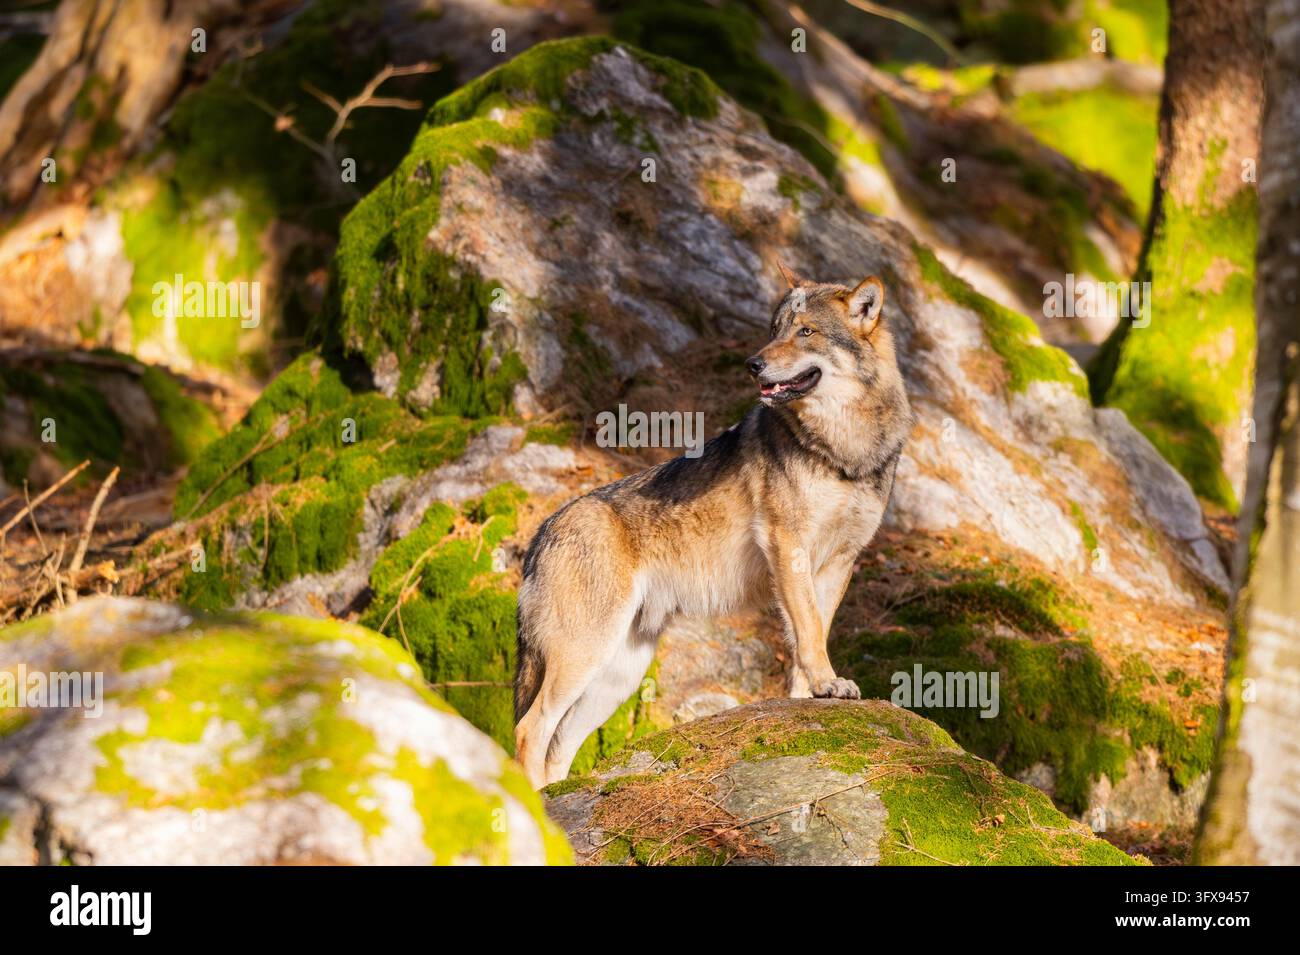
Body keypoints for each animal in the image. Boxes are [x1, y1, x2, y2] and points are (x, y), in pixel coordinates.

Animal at [513, 266, 913, 787]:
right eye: (775, 330)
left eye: (805, 332)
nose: (753, 365)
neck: (843, 452)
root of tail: (541, 533)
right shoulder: (788, 545)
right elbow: (808, 631)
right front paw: (828, 683)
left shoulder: (839, 562)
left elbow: (811, 635)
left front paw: (809, 698)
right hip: (584, 657)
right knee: (528, 730)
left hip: (616, 677)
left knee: (558, 746)